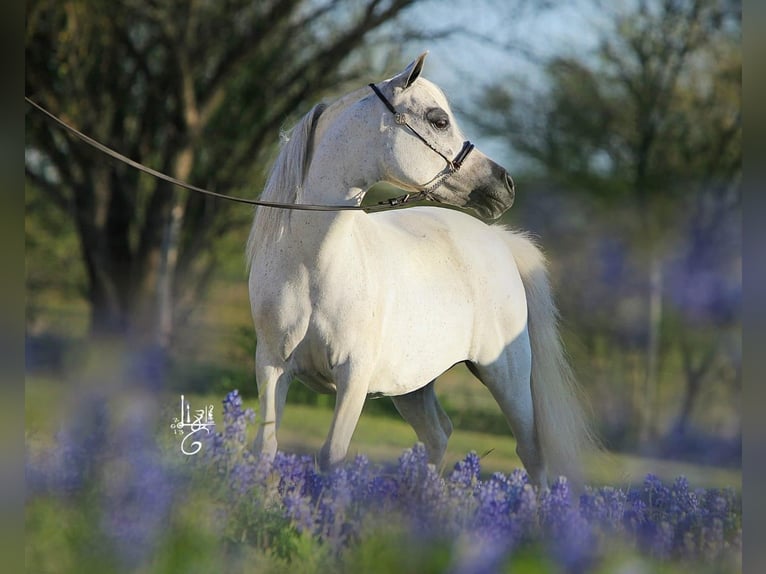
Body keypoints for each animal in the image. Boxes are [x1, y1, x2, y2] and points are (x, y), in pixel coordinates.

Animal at [246, 53, 592, 486]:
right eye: (439, 120)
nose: (505, 184)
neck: (310, 268)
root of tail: (499, 241)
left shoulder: (354, 378)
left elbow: (331, 457)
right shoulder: (272, 369)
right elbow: (266, 449)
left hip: (506, 377)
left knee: (530, 454)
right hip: (412, 386)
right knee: (438, 435)